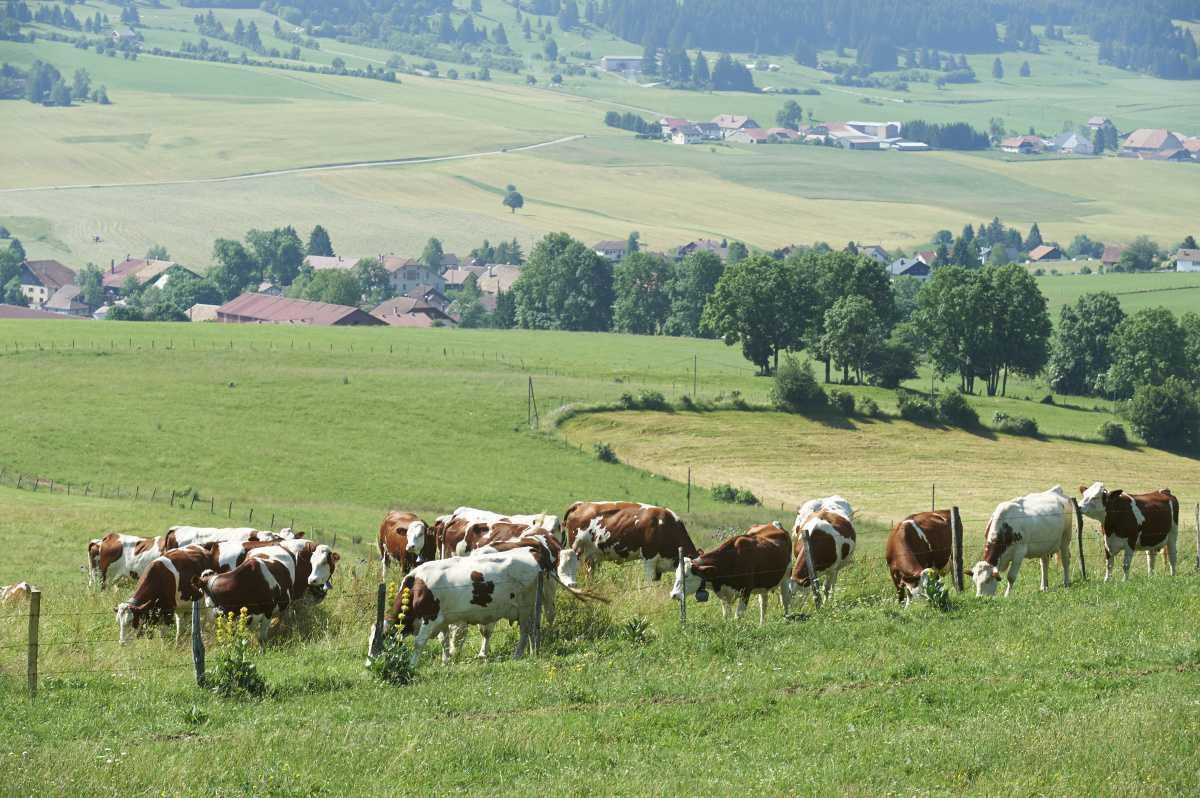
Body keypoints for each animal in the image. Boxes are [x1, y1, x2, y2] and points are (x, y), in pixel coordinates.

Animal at [384, 547, 544, 667]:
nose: (374, 663)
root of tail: (530, 551)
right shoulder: (443, 619)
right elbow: (444, 641)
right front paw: (445, 661)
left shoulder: (431, 617)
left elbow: (419, 643)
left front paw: (412, 665)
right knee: (532, 630)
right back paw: (532, 652)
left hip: (525, 607)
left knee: (525, 631)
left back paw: (518, 655)